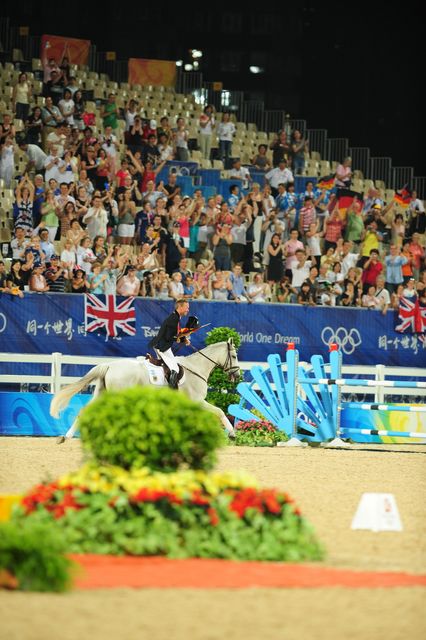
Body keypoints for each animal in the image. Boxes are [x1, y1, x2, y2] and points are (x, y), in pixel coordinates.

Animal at [50, 339, 240, 443]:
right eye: (234, 355)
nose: (237, 375)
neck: (196, 368)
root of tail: (109, 365)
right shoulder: (197, 401)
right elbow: (219, 411)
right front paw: (232, 434)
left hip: (102, 394)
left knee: (84, 412)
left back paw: (66, 437)